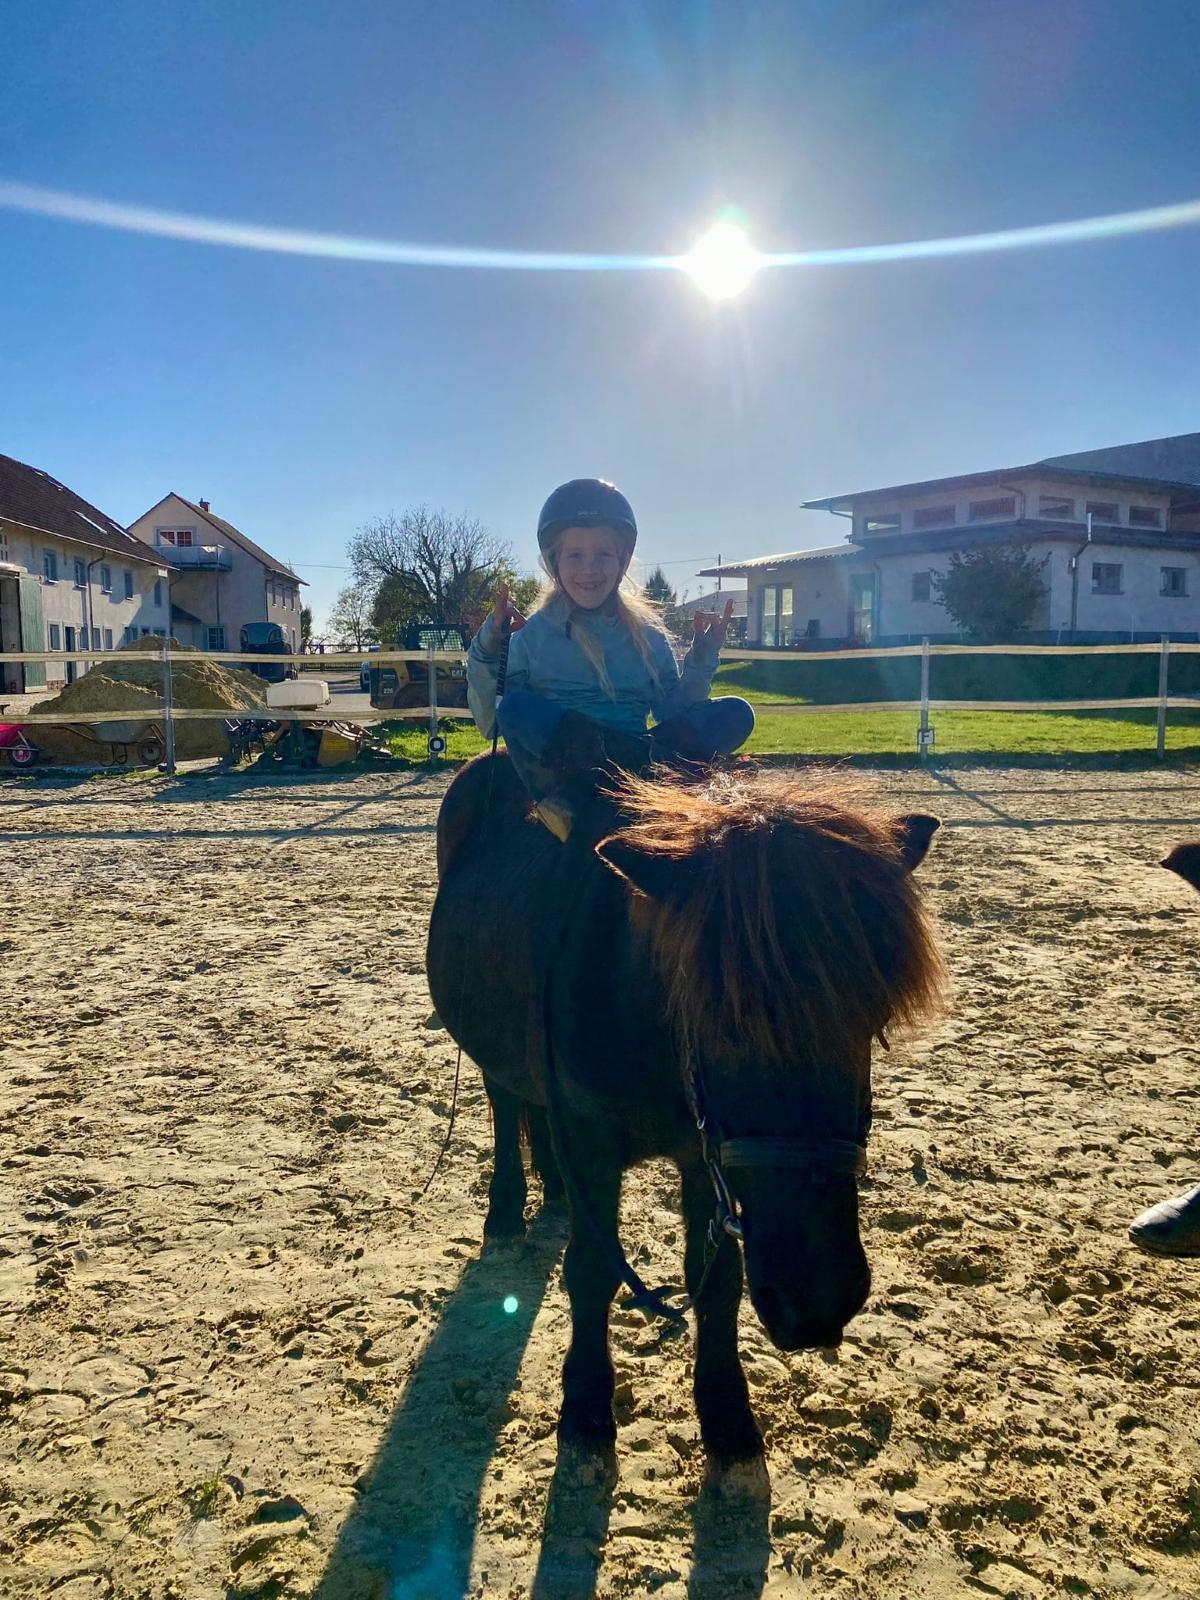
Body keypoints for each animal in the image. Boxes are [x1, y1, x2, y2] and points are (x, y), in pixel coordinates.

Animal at [426, 752, 945, 1480]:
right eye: (719, 1021)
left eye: (872, 1022)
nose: (816, 1302)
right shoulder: (594, 1144)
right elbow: (592, 1270)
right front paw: (586, 1411)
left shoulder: (708, 1155)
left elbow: (716, 1279)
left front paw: (729, 1418)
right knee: (505, 1104)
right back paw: (505, 1212)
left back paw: (552, 1193)